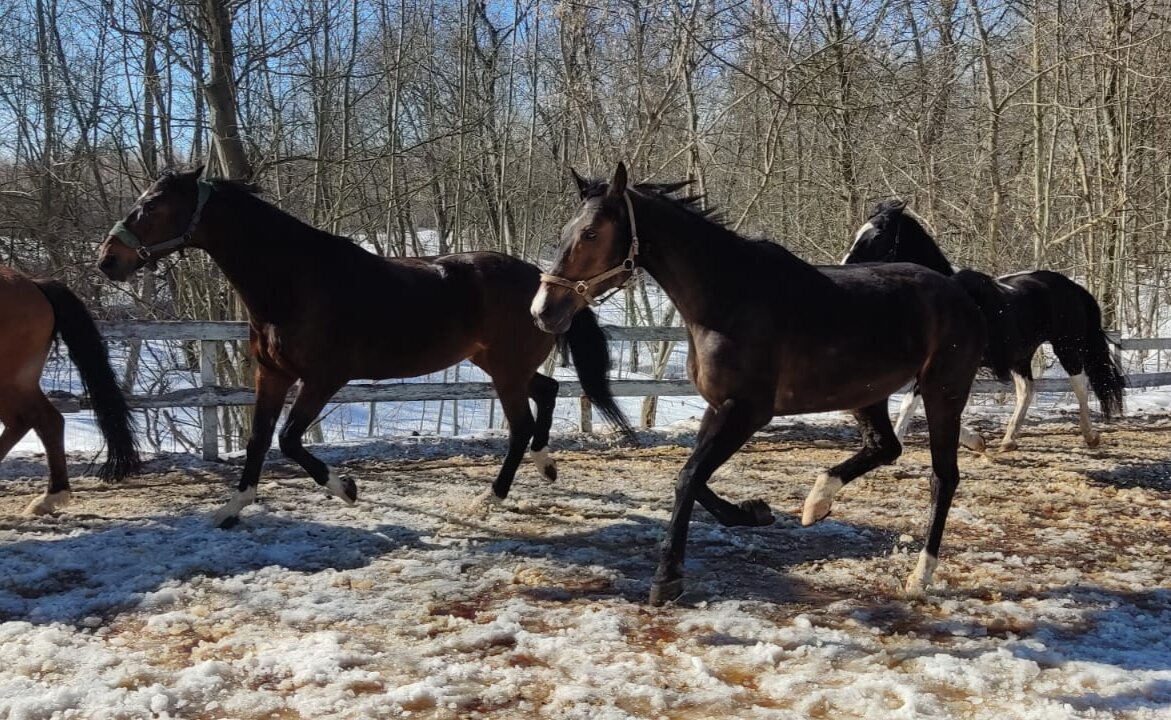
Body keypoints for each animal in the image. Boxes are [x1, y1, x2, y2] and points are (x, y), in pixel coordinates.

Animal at [0, 263, 139, 512]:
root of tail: (33, 283)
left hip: (11, 381)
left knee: (41, 420)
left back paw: (51, 497)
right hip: (19, 383)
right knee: (34, 421)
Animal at [96, 168, 637, 529]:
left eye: (151, 206)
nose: (107, 260)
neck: (293, 282)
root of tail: (547, 282)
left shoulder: (323, 378)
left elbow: (288, 440)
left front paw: (347, 489)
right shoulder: (271, 374)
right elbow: (258, 439)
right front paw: (232, 508)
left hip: (504, 371)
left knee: (522, 424)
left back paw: (493, 497)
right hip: (499, 363)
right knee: (546, 393)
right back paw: (546, 467)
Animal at [536, 161, 983, 604]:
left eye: (591, 233)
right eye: (566, 230)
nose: (543, 311)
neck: (729, 299)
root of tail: (957, 290)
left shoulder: (747, 412)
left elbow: (688, 477)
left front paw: (666, 579)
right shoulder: (718, 407)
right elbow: (691, 476)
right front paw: (752, 512)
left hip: (943, 393)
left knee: (943, 477)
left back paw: (920, 575)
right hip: (866, 393)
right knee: (885, 447)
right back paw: (816, 504)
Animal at [843, 199, 1124, 449]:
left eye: (878, 234)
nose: (845, 265)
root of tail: (1073, 287)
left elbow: (913, 402)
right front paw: (976, 441)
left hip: (1068, 346)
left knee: (1080, 385)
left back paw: (1090, 436)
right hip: (1021, 355)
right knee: (1027, 390)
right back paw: (1008, 440)